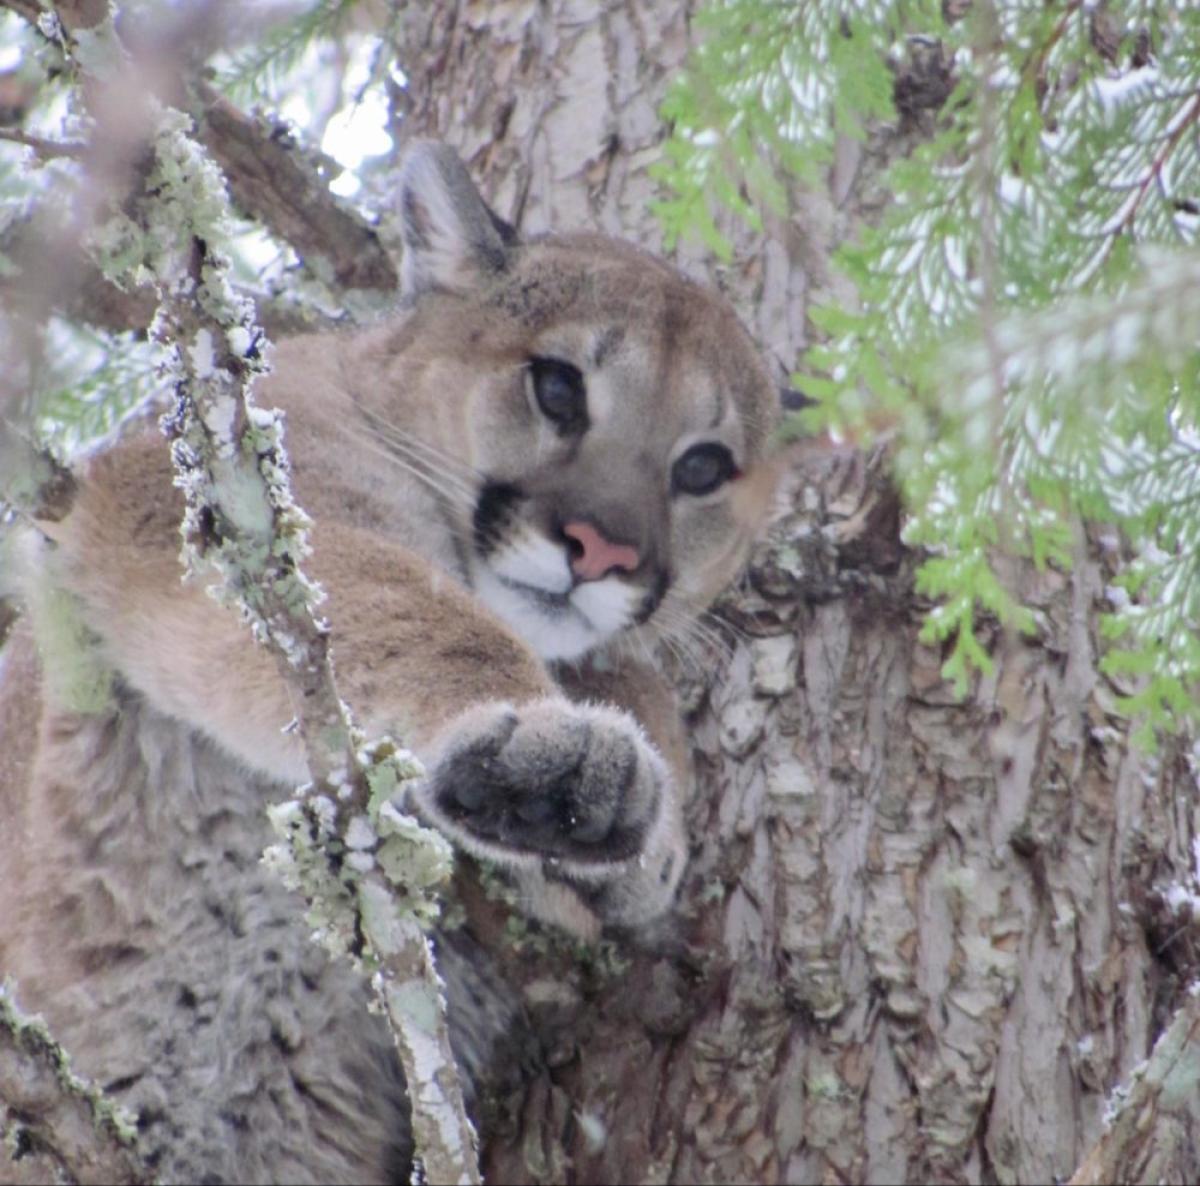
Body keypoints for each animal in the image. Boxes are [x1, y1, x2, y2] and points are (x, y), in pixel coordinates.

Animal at [0, 143, 782, 1181]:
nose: (602, 550)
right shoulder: (213, 511)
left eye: (702, 467)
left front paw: (637, 841)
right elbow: (413, 607)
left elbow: (635, 677)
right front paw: (555, 754)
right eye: (558, 388)